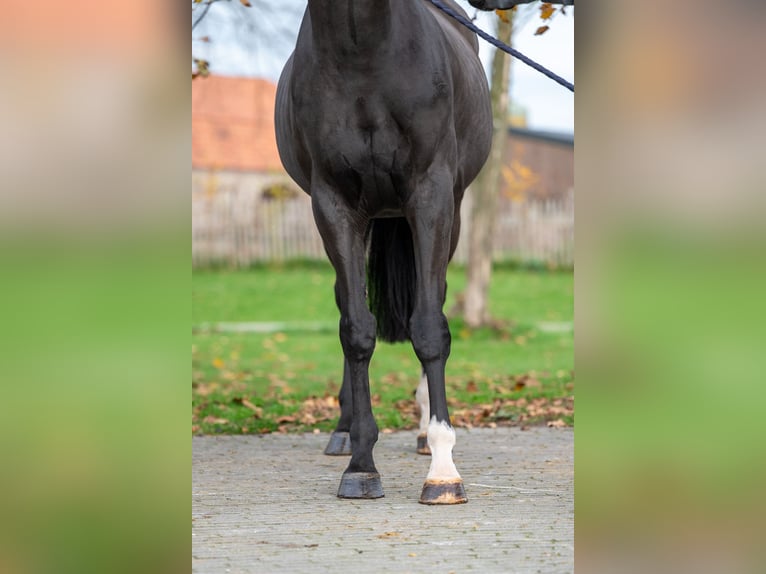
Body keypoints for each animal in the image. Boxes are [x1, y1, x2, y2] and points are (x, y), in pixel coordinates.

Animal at [275, 0, 492, 505]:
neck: (364, 56)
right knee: (347, 304)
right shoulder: (332, 205)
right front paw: (360, 464)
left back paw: (423, 432)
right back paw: (343, 429)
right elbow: (356, 330)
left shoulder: (431, 196)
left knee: (433, 299)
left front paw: (443, 470)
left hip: (445, 214)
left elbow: (429, 327)